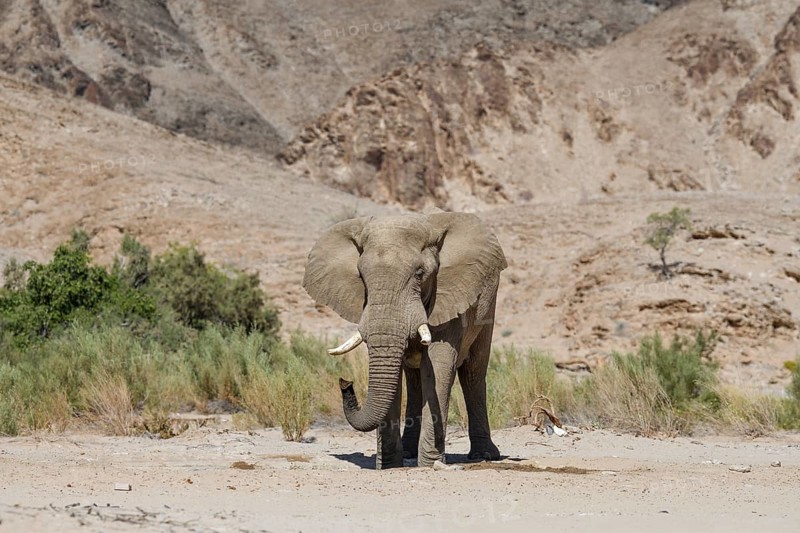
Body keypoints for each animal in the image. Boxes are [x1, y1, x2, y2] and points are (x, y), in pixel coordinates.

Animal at [303, 212, 507, 469]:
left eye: (420, 274)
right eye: (361, 277)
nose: (345, 382)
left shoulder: (448, 295)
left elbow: (437, 367)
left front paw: (430, 465)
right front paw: (388, 466)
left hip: (488, 303)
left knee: (473, 372)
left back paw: (484, 455)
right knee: (414, 378)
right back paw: (410, 452)